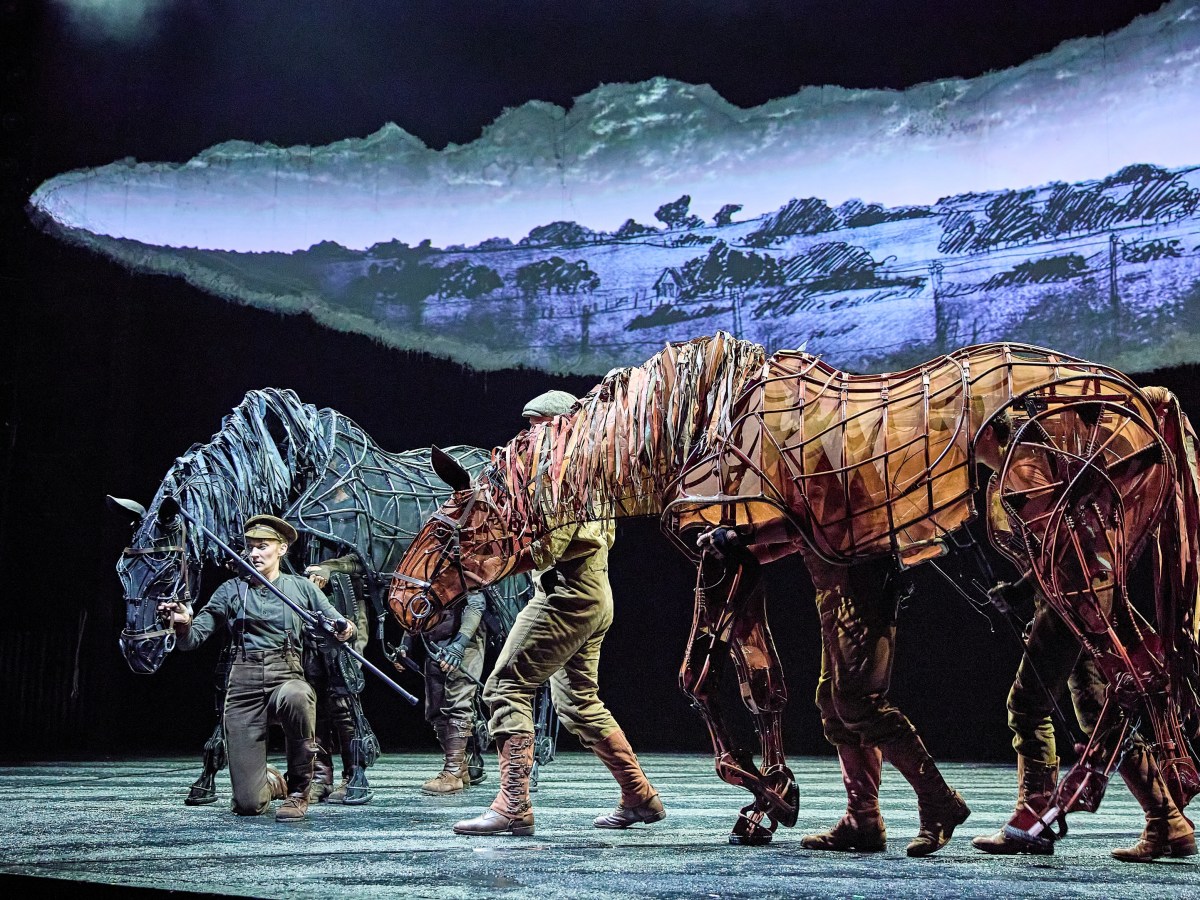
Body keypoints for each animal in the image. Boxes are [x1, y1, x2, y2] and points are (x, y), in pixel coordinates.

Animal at [109, 387, 546, 805]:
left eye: (166, 570)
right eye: (121, 571)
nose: (139, 652)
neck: (295, 475)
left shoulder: (338, 589)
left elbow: (342, 676)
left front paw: (359, 773)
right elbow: (244, 674)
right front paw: (210, 778)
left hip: (509, 598)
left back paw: (532, 760)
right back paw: (471, 763)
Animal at [386, 332, 1200, 846]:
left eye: (448, 529)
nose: (402, 602)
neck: (698, 419)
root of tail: (1141, 396)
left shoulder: (723, 552)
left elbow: (699, 678)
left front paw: (766, 793)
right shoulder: (754, 557)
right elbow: (763, 685)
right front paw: (771, 800)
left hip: (1066, 556)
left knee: (1135, 673)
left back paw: (1050, 814)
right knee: (1146, 671)